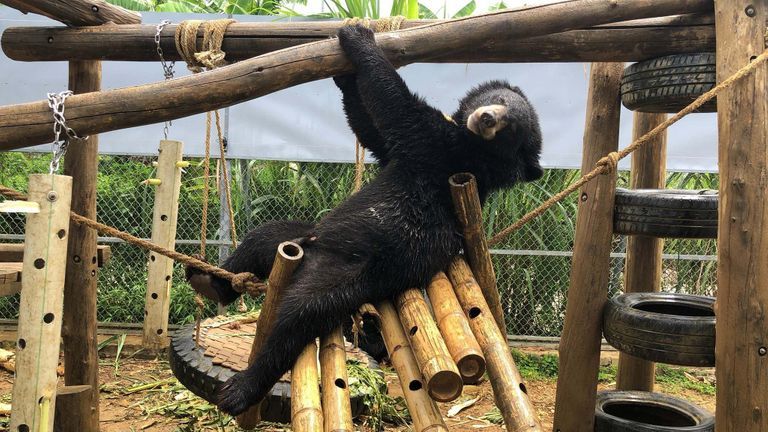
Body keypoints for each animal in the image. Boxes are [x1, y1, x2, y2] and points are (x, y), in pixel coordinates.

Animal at [185, 24, 544, 416]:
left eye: (511, 128)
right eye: (501, 100)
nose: (487, 118)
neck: (480, 152)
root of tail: (309, 258)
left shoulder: (444, 149)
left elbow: (397, 109)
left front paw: (358, 35)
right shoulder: (414, 154)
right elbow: (372, 133)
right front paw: (342, 71)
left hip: (350, 274)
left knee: (301, 315)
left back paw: (240, 389)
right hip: (303, 238)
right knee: (265, 237)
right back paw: (207, 279)